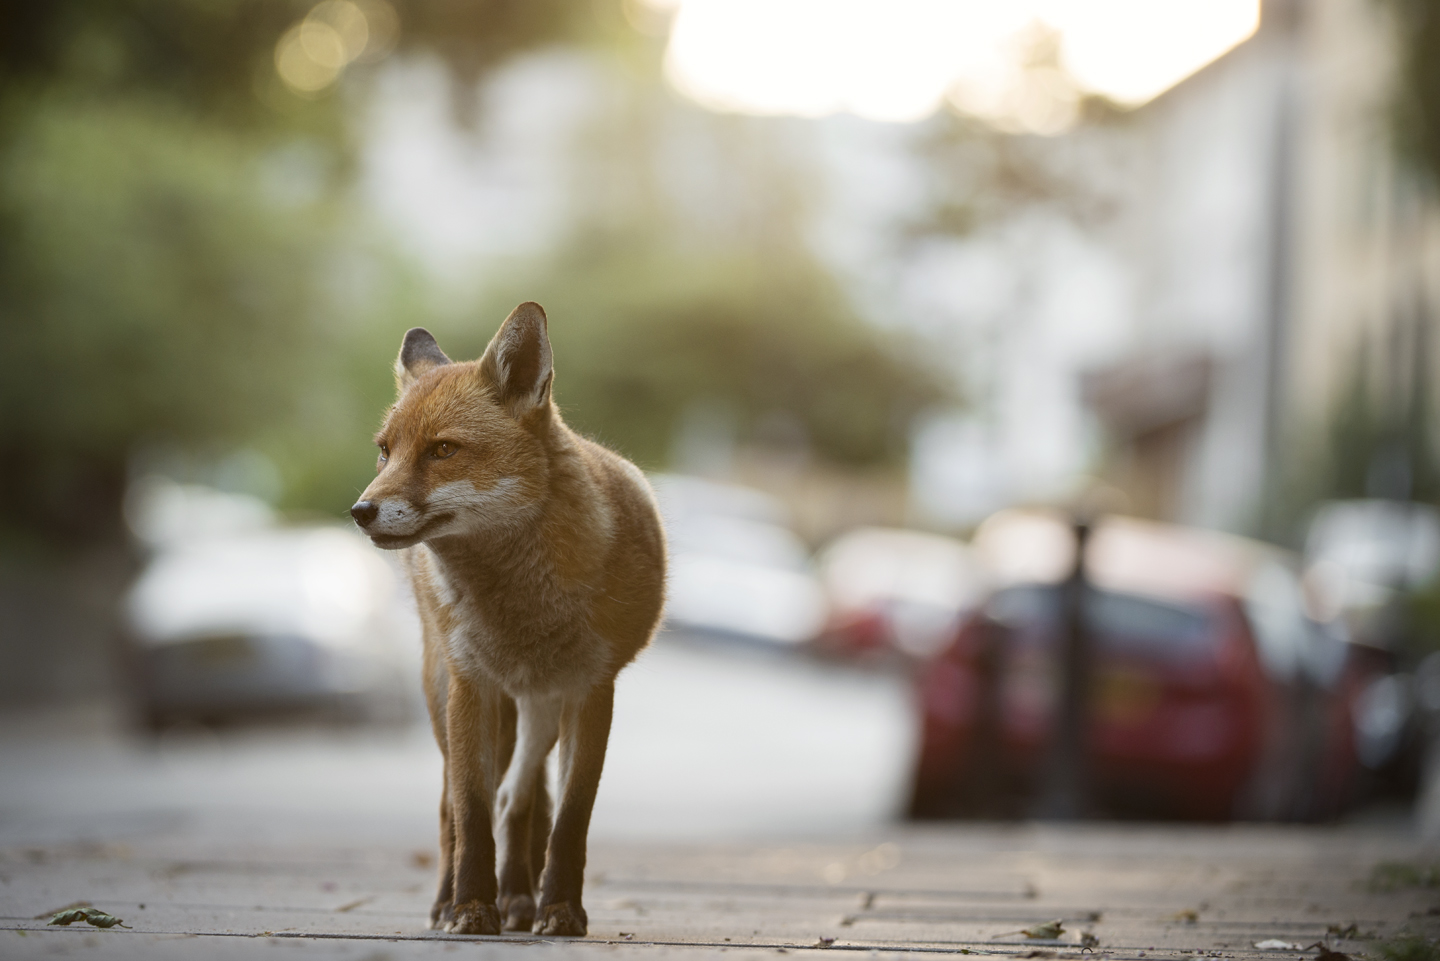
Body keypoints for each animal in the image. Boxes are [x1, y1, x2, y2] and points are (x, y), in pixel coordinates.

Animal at [351, 304, 665, 933]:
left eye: (442, 450)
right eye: (385, 450)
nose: (360, 510)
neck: (521, 612)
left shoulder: (591, 690)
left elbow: (567, 818)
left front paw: (560, 909)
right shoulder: (472, 684)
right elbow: (471, 812)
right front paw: (471, 906)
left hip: (538, 711)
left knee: (523, 799)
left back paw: (520, 896)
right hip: (450, 695)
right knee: (455, 804)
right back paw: (450, 900)